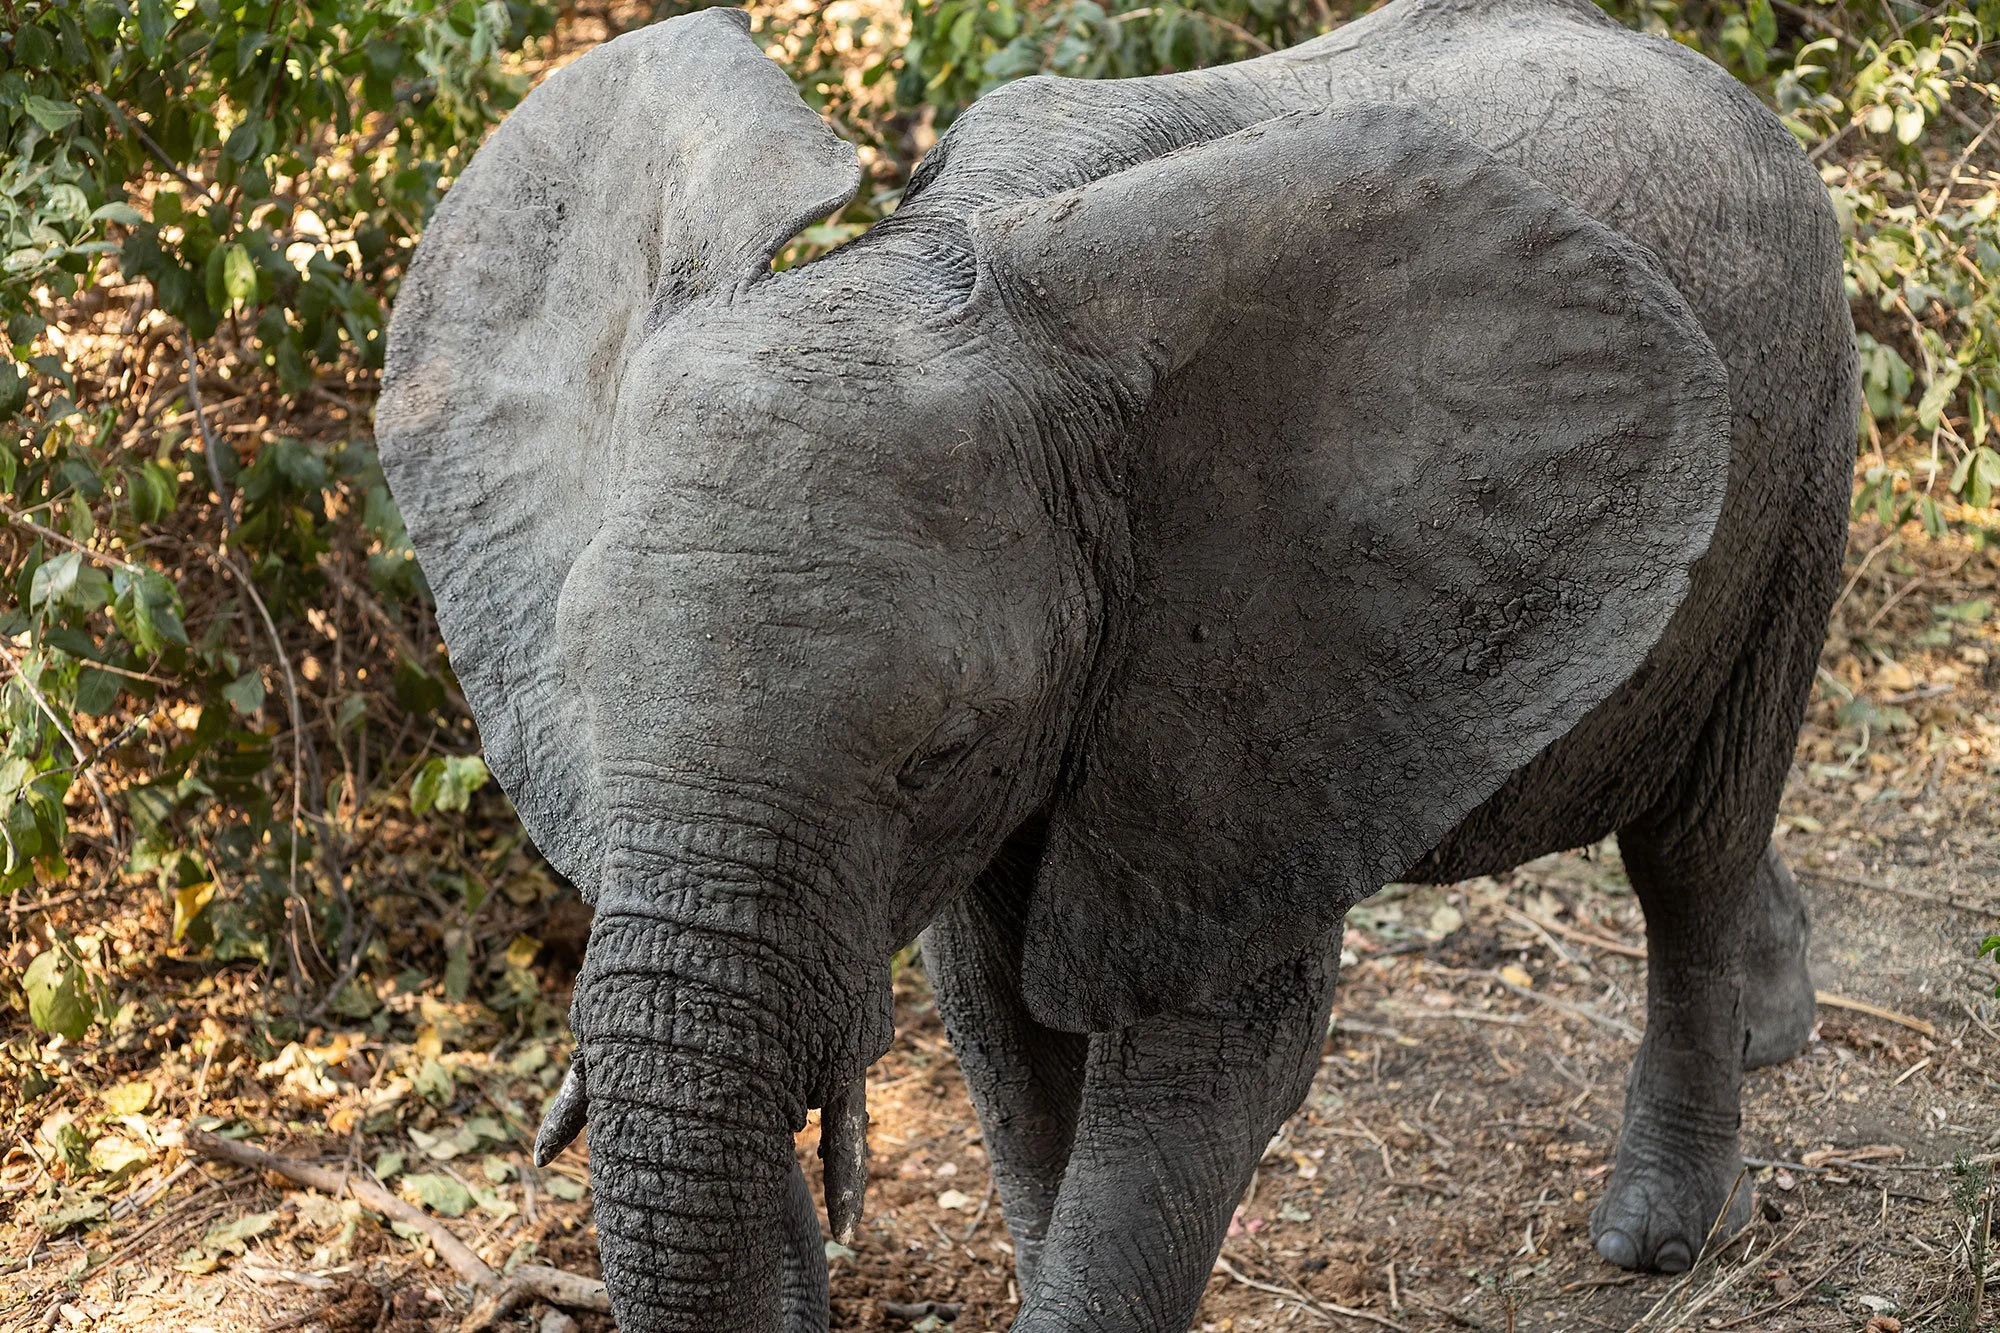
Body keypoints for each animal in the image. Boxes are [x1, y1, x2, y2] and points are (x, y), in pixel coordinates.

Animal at [375, 0, 1857, 1327]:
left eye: (941, 752)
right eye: (584, 701)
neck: (936, 251)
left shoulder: (1239, 658)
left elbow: (1207, 1076)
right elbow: (1002, 1035)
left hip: (1805, 443)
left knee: (1693, 842)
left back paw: (1660, 1230)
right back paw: (1778, 1026)